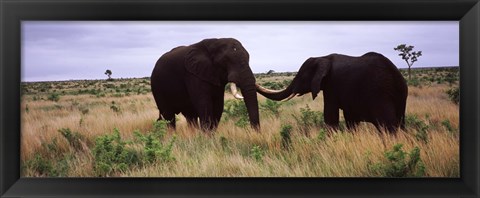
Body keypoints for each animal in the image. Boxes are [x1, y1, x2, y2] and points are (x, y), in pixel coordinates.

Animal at [256, 52, 406, 133]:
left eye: (301, 76)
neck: (323, 57)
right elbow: (350, 119)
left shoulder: (332, 85)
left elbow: (330, 116)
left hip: (380, 94)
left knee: (388, 126)